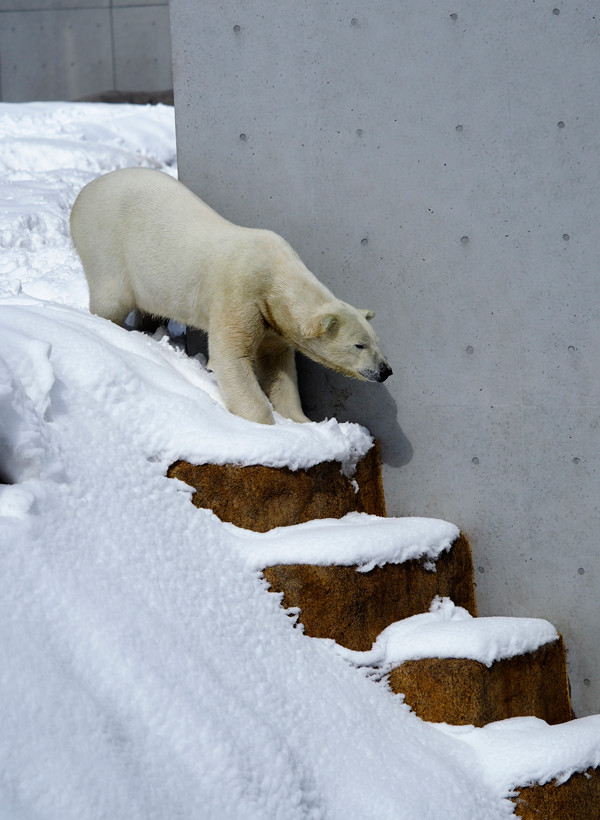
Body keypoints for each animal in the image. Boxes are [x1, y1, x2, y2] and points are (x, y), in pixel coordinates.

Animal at [70, 166, 392, 422]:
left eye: (376, 341)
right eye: (359, 345)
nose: (385, 370)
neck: (275, 275)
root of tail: (84, 192)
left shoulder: (271, 319)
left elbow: (278, 367)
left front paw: (302, 421)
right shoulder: (240, 294)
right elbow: (230, 357)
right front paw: (265, 425)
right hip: (106, 244)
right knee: (111, 299)